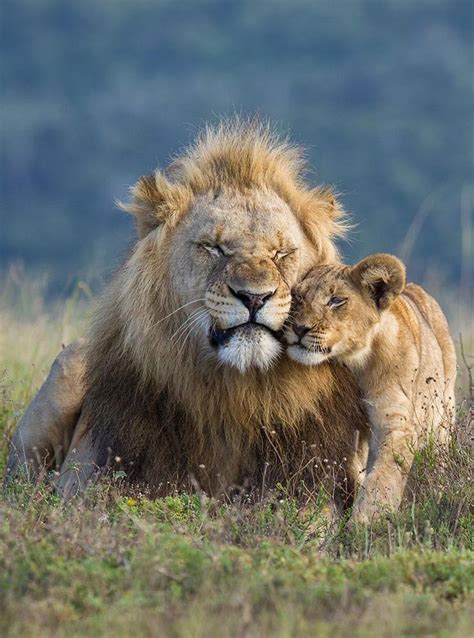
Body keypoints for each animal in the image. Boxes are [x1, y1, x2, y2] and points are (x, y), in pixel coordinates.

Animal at [286, 252, 456, 524]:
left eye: (336, 301)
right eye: (298, 297)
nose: (299, 328)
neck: (355, 364)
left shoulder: (394, 420)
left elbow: (383, 478)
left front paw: (362, 525)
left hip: (441, 425)